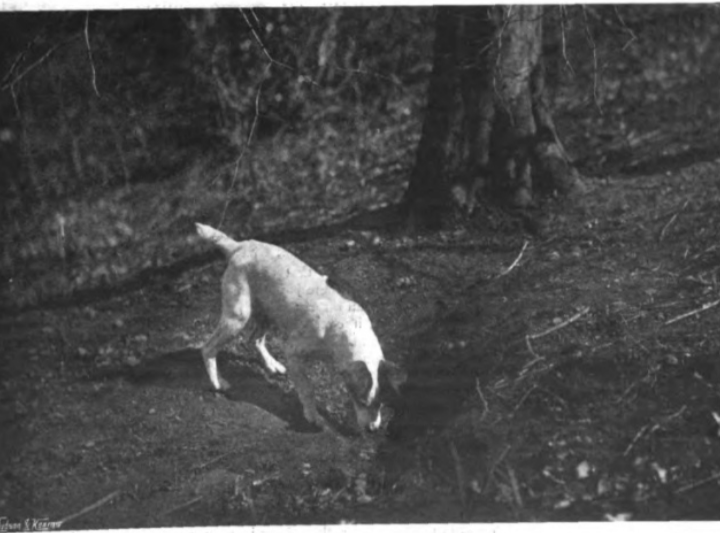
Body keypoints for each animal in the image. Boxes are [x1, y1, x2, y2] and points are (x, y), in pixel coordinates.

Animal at [195, 223, 401, 431]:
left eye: (381, 403)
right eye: (362, 401)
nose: (373, 429)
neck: (343, 328)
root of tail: (239, 246)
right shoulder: (293, 353)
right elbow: (308, 390)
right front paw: (313, 416)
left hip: (268, 314)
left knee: (255, 340)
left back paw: (272, 364)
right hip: (238, 317)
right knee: (208, 348)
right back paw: (217, 382)